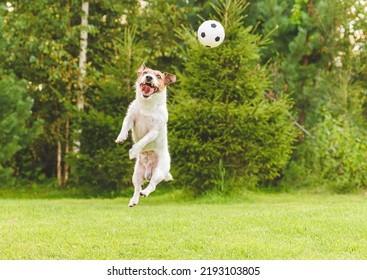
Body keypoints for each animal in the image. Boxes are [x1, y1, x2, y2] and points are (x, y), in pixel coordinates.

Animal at [116, 64, 177, 208]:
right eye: (145, 73)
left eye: (158, 76)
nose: (149, 77)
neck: (147, 105)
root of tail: (148, 172)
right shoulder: (130, 117)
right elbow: (124, 126)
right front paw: (121, 137)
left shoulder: (153, 131)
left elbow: (143, 141)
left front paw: (133, 151)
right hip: (137, 174)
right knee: (137, 188)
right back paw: (133, 200)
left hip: (159, 171)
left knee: (152, 185)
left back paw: (145, 192)